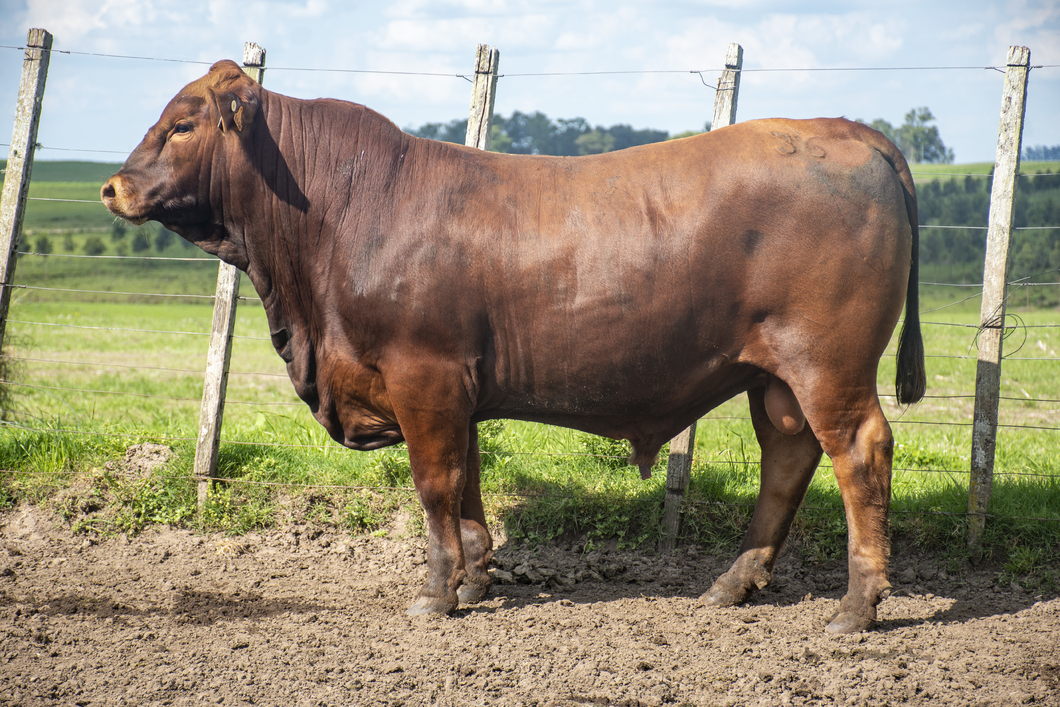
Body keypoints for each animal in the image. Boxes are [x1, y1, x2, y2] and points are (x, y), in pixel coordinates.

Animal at [103, 62, 924, 635]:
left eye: (183, 125)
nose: (113, 187)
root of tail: (849, 129)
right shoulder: (455, 390)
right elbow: (466, 483)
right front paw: (474, 579)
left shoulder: (423, 375)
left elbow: (434, 484)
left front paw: (436, 594)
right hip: (774, 377)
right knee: (788, 457)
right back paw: (732, 584)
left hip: (828, 364)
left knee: (860, 453)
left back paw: (858, 604)